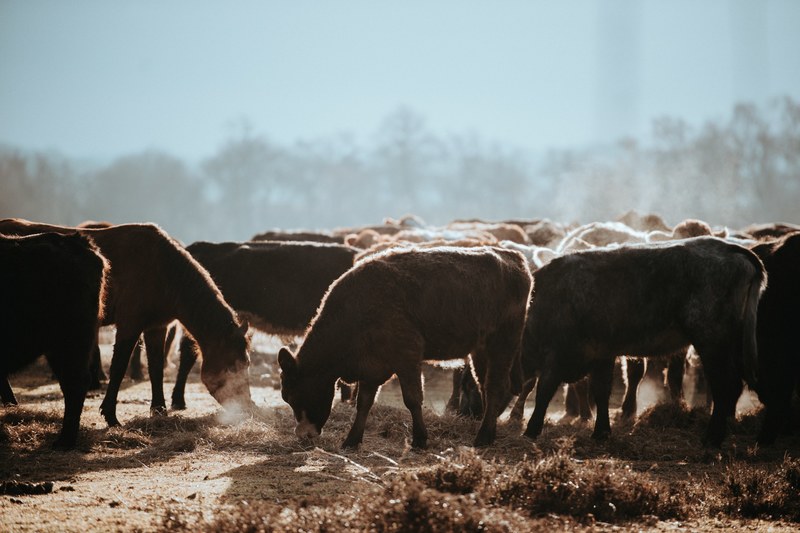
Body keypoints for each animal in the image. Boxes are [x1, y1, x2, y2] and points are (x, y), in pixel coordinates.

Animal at [278, 246, 533, 449]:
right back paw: (488, 431)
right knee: (485, 386)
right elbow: (364, 403)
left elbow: (412, 399)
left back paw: (483, 437)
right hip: (480, 350)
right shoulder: (372, 367)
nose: (303, 435)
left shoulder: (407, 357)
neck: (356, 311)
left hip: (503, 343)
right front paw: (352, 440)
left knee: (495, 387)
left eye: (293, 394)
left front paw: (420, 439)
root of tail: (513, 257)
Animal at [521, 237, 766, 447]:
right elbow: (601, 391)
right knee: (734, 385)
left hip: (712, 342)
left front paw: (531, 430)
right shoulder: (602, 353)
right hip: (734, 345)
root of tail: (734, 250)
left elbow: (544, 390)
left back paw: (712, 438)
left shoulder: (556, 355)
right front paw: (601, 432)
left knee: (724, 385)